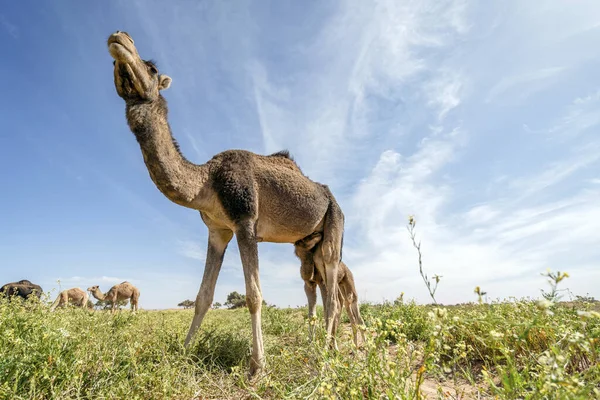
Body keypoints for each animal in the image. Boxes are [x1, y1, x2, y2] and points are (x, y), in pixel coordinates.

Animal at [105, 30, 344, 376]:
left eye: (151, 68)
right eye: (114, 64)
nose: (120, 37)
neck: (207, 181)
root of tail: (331, 197)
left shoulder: (245, 220)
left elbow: (254, 295)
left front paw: (257, 366)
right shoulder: (217, 230)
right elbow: (203, 295)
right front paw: (184, 351)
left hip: (333, 224)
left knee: (333, 291)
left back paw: (325, 354)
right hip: (307, 244)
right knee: (322, 291)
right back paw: (328, 347)